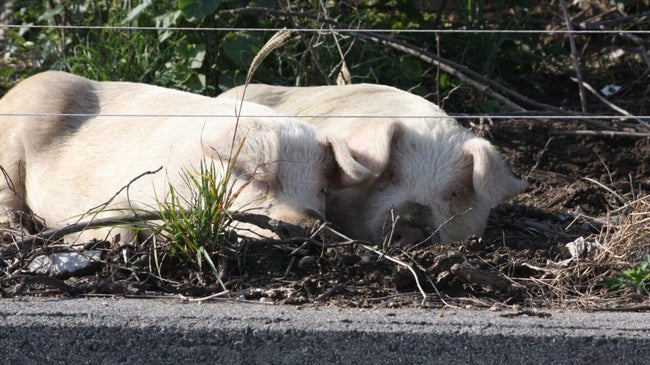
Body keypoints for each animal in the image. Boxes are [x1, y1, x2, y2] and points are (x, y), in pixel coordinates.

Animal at [0, 71, 368, 243]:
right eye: (257, 179)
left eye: (320, 189)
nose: (308, 226)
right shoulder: (119, 194)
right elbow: (113, 226)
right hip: (9, 151)